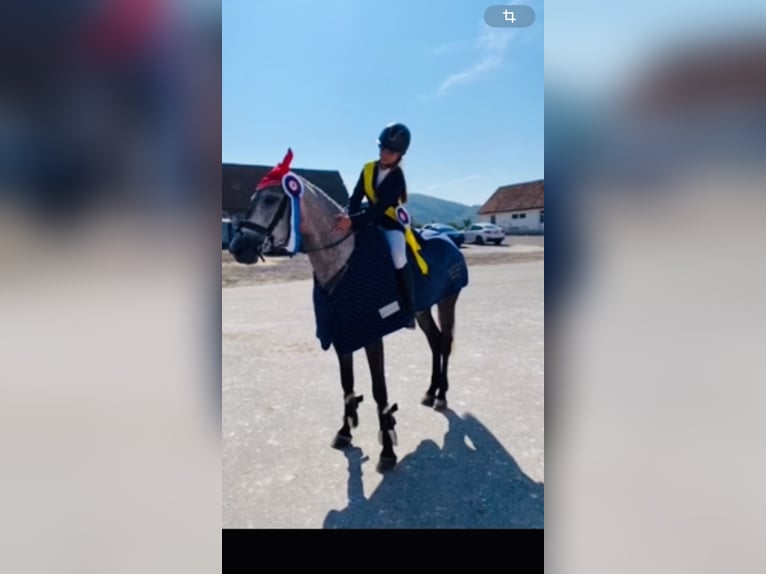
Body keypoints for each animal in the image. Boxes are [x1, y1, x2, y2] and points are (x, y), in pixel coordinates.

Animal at [228, 150, 468, 472]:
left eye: (269, 199)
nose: (237, 247)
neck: (342, 257)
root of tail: (450, 241)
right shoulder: (343, 331)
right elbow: (347, 384)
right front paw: (345, 430)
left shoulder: (371, 333)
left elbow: (379, 390)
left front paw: (387, 448)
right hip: (422, 309)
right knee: (435, 341)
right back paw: (431, 392)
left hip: (447, 301)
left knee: (445, 342)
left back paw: (441, 395)